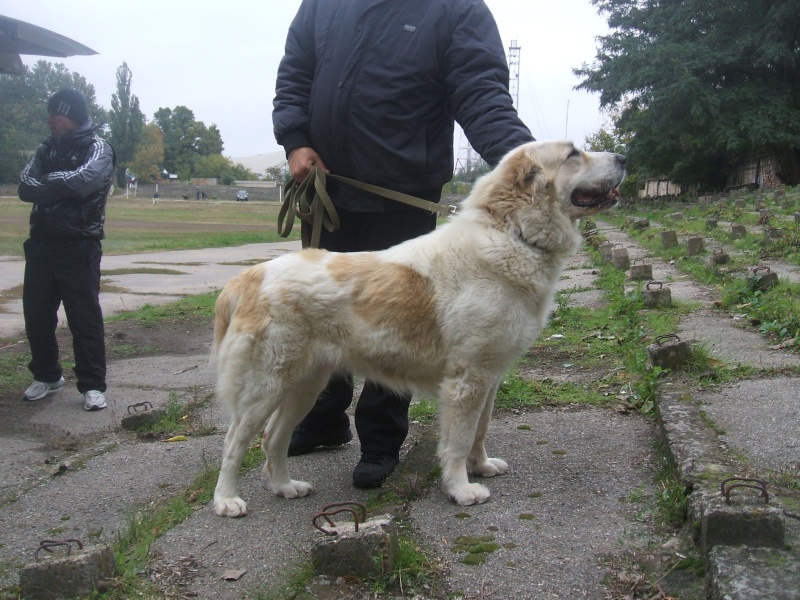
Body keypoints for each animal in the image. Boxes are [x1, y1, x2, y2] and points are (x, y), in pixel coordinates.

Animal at [211, 141, 626, 517]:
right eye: (573, 154)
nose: (623, 157)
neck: (512, 233)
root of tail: (245, 278)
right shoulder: (466, 381)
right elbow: (459, 440)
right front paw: (461, 489)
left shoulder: (490, 375)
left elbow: (481, 429)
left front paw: (481, 467)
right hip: (265, 385)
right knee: (234, 442)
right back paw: (226, 500)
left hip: (305, 386)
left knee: (272, 439)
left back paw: (285, 487)